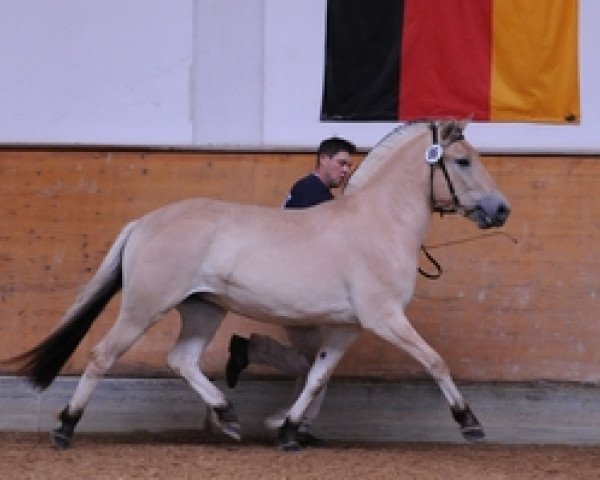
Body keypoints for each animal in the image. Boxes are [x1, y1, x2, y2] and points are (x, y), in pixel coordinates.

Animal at [3, 120, 510, 450]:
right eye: (462, 161)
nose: (501, 209)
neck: (378, 223)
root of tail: (144, 223)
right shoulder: (384, 317)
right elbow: (435, 361)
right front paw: (470, 424)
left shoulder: (347, 326)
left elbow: (318, 375)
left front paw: (288, 430)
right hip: (144, 307)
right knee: (102, 356)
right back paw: (65, 428)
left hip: (204, 308)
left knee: (181, 359)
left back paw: (228, 415)